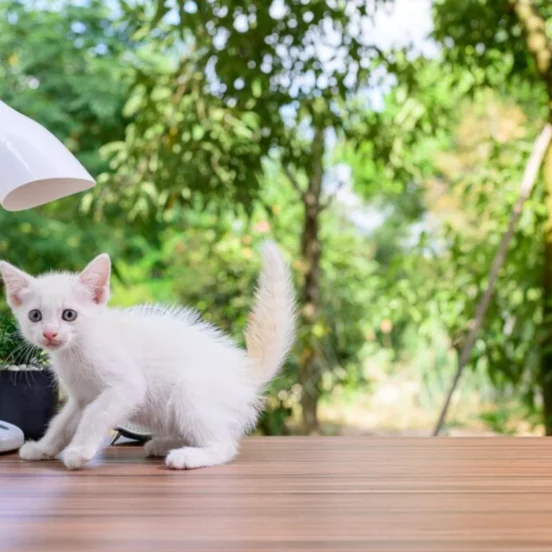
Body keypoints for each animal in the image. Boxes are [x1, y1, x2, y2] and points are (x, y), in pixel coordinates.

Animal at [0, 243, 296, 470]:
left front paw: (79, 451)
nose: (49, 334)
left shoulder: (126, 386)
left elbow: (95, 415)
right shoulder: (81, 397)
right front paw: (42, 448)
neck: (77, 350)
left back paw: (188, 456)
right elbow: (61, 423)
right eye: (35, 315)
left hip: (192, 390)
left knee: (224, 445)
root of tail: (245, 372)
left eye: (69, 315)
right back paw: (164, 443)